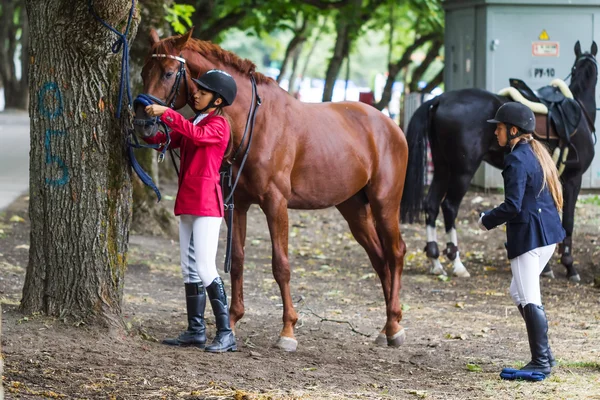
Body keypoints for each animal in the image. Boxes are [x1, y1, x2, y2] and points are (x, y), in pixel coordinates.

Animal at [135, 30, 408, 350]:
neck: (254, 123)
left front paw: (288, 330)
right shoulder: (237, 204)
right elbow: (237, 260)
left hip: (385, 203)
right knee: (378, 258)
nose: (142, 123)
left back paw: (394, 326)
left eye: (168, 73)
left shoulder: (275, 203)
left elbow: (281, 265)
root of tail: (390, 124)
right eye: (143, 72)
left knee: (395, 252)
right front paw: (231, 323)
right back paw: (387, 327)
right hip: (354, 208)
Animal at [400, 41, 596, 282]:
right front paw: (569, 267)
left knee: (431, 204)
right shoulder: (573, 179)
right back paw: (457, 262)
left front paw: (547, 266)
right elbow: (568, 221)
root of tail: (439, 99)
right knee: (449, 207)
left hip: (442, 166)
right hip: (463, 171)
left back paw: (436, 261)